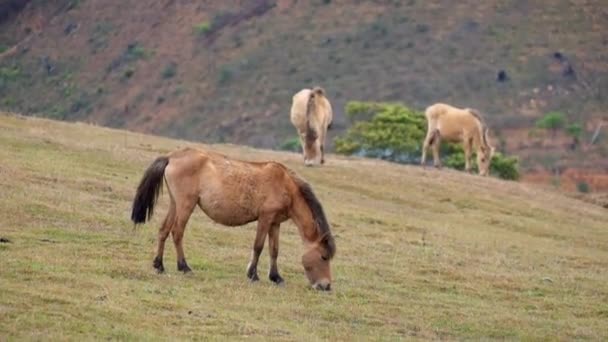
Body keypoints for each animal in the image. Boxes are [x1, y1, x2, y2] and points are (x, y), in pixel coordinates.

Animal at [130, 148, 334, 290]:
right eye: (323, 257)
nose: (326, 286)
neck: (285, 185)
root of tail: (172, 157)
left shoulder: (275, 223)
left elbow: (274, 250)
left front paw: (276, 277)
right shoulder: (265, 219)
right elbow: (258, 247)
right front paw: (253, 275)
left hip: (175, 204)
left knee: (163, 230)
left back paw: (159, 265)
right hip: (185, 205)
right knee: (177, 232)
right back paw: (184, 267)